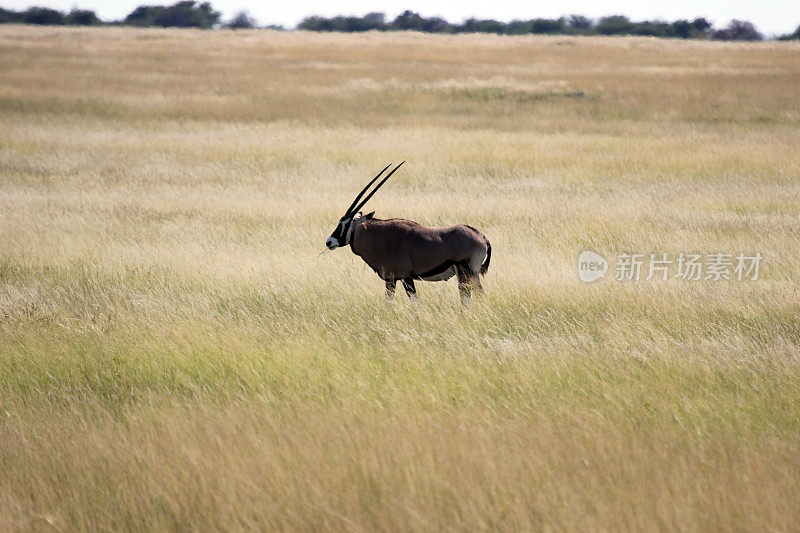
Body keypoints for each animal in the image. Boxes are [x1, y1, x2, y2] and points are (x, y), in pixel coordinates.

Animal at [324, 162, 488, 304]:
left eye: (345, 224)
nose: (329, 241)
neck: (381, 238)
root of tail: (481, 237)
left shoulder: (401, 278)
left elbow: (409, 303)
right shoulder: (393, 280)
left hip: (466, 273)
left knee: (468, 298)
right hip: (471, 275)